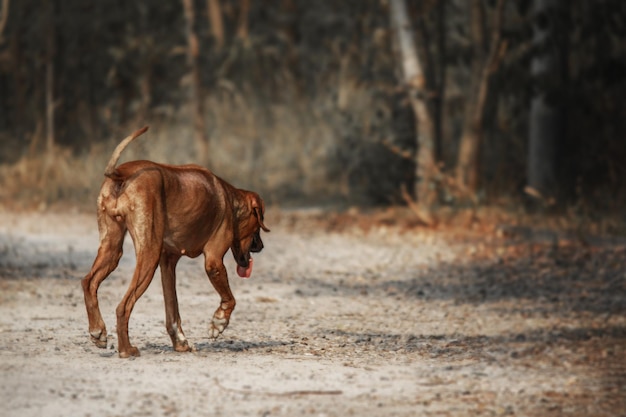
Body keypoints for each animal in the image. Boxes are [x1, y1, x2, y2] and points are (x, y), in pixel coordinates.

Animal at [80, 125, 268, 356]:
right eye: (259, 225)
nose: (261, 246)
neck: (230, 199)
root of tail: (122, 173)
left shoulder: (168, 263)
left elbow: (173, 311)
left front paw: (180, 342)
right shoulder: (213, 262)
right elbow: (230, 299)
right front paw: (218, 323)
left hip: (112, 250)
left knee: (88, 282)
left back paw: (98, 331)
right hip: (148, 256)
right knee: (123, 306)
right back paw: (126, 349)